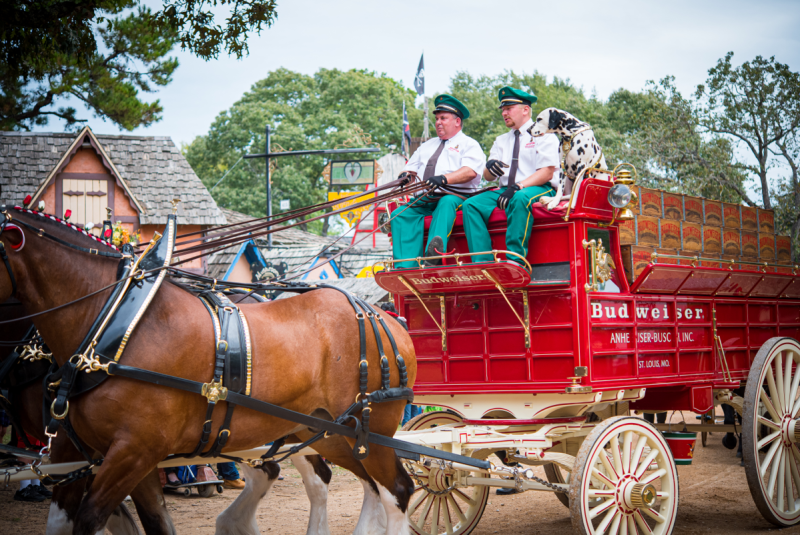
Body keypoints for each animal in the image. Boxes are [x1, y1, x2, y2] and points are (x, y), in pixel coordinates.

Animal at [0, 210, 416, 535]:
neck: (113, 319)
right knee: (361, 484)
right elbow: (130, 521)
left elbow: (92, 518)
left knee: (397, 490)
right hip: (326, 431)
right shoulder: (89, 451)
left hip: (370, 431)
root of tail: (384, 317)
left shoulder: (133, 451)